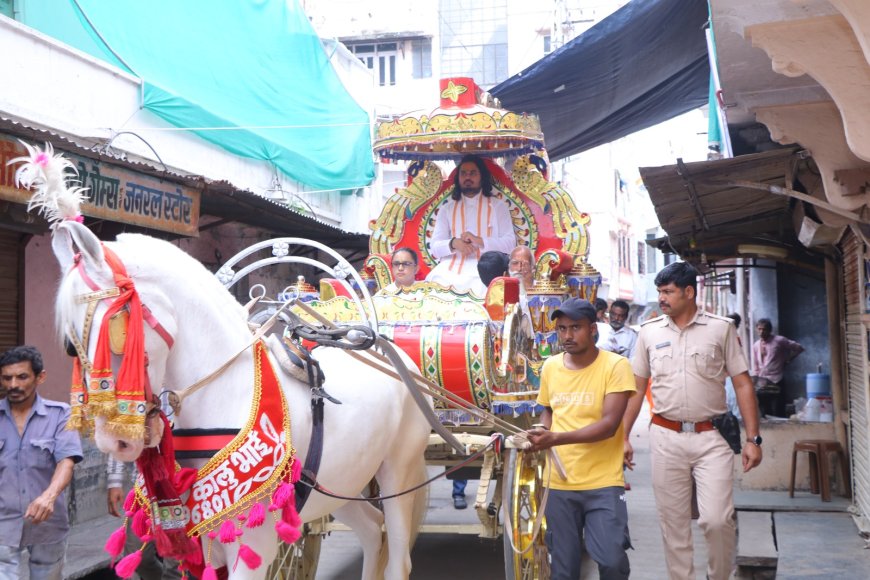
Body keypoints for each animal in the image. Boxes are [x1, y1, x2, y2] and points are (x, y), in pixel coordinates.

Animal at [52, 220, 434, 576]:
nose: (112, 439)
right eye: (69, 344)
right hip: (341, 482)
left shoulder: (254, 542)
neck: (225, 394)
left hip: (399, 472)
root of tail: (400, 360)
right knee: (371, 530)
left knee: (397, 557)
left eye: (117, 325)